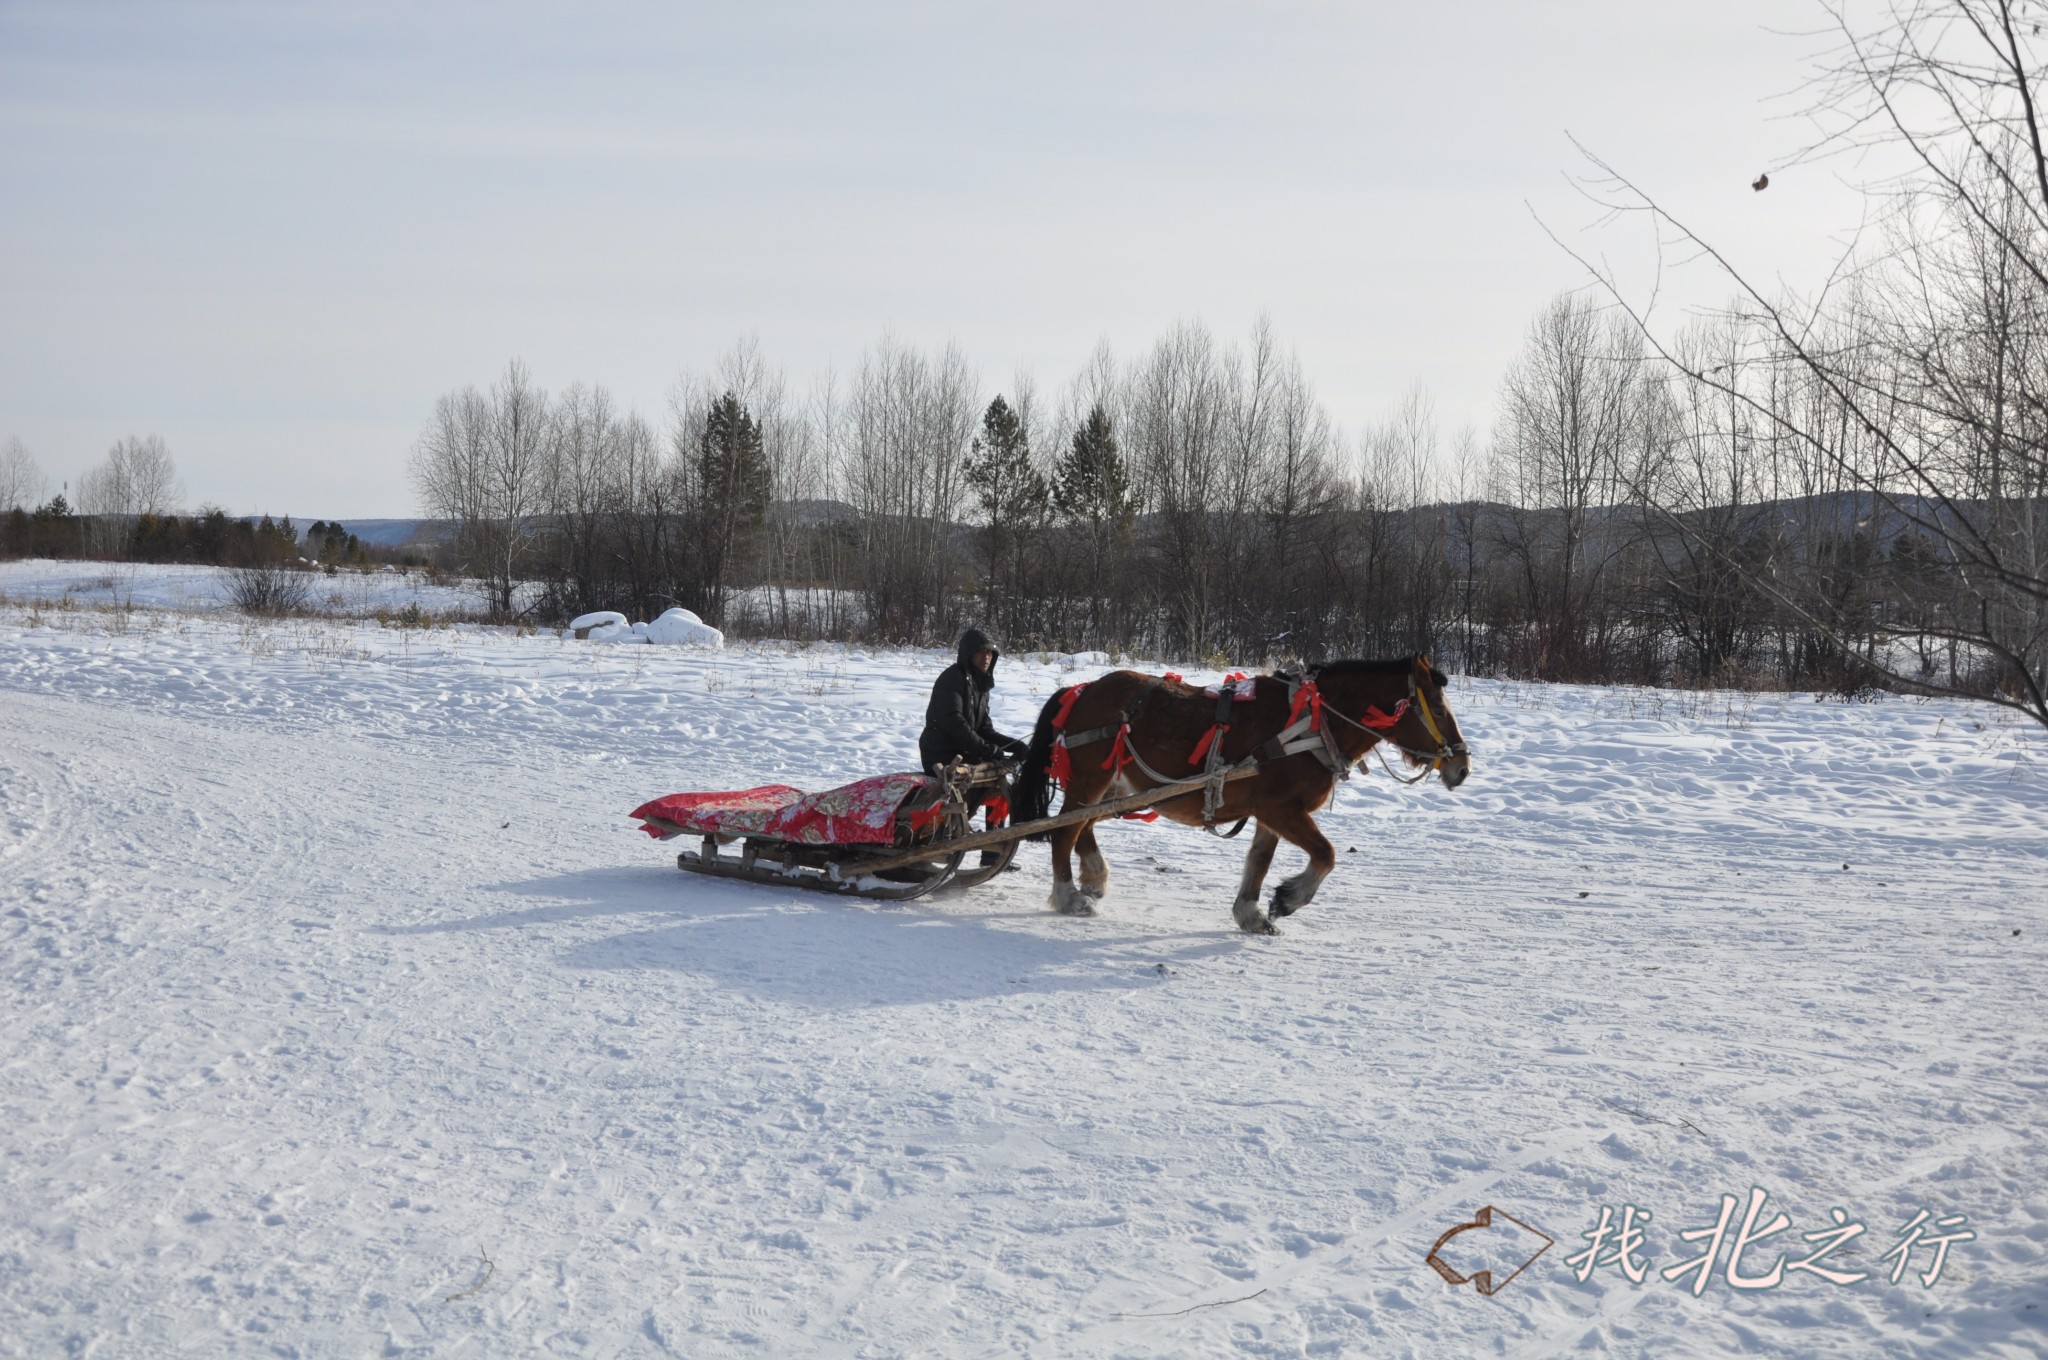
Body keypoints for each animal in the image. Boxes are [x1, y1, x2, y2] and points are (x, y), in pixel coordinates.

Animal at [1011, 655, 1474, 933]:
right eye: (1436, 706)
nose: (1462, 767)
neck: (1312, 722)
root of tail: (1082, 690)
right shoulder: (1282, 809)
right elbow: (1326, 854)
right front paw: (1290, 898)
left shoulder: (1271, 814)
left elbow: (1260, 862)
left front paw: (1252, 912)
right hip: (1092, 779)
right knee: (1064, 832)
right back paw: (1069, 895)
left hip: (1111, 785)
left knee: (1080, 826)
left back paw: (1093, 877)